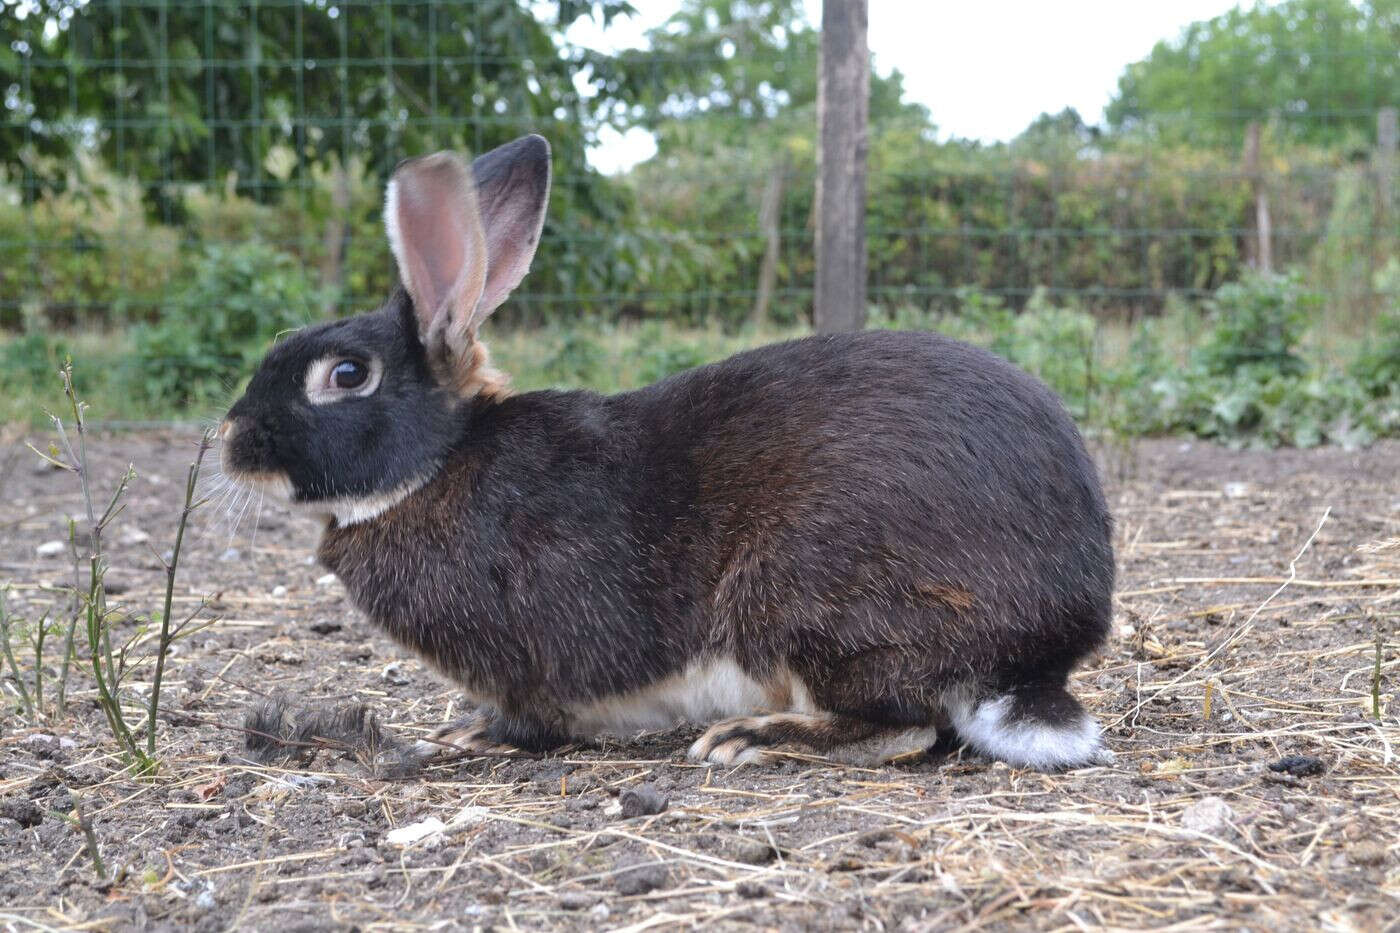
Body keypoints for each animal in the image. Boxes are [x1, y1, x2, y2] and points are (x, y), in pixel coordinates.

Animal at [218, 132, 1114, 767]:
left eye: (345, 375)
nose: (230, 442)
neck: (437, 466)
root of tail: (1037, 655)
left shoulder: (531, 662)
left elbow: (531, 718)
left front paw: (471, 736)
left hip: (803, 597)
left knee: (901, 726)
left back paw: (753, 737)